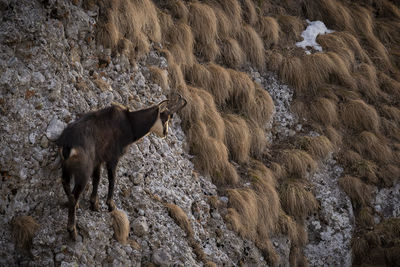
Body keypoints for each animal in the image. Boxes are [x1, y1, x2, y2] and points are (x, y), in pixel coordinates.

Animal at [55, 94, 187, 241]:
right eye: (166, 118)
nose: (166, 133)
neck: (130, 124)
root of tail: (68, 144)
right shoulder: (113, 157)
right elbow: (112, 178)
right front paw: (110, 205)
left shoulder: (98, 159)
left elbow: (97, 178)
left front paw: (94, 204)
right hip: (84, 170)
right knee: (74, 194)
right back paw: (72, 230)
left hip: (67, 168)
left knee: (66, 184)